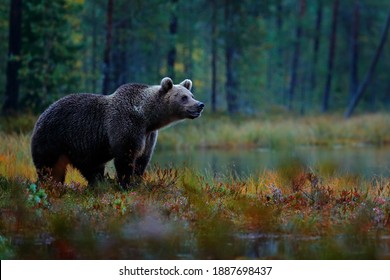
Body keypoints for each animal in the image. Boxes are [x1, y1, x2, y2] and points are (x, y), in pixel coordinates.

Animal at [30, 76, 204, 187]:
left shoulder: (148, 135)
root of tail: (42, 114)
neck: (147, 117)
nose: (200, 105)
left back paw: (98, 183)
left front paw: (137, 181)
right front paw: (126, 183)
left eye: (191, 94)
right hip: (54, 137)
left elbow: (143, 158)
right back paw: (52, 183)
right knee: (49, 166)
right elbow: (125, 157)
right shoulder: (125, 125)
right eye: (183, 97)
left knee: (91, 167)